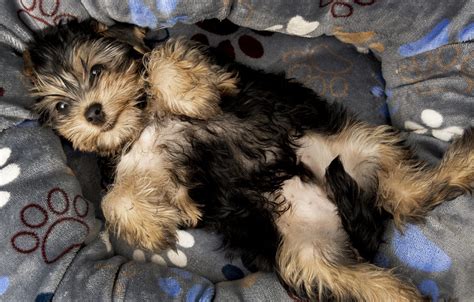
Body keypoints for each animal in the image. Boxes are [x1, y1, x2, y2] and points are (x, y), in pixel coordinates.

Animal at [23, 20, 474, 300]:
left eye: (96, 71)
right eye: (61, 107)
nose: (93, 113)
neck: (142, 122)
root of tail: (330, 204)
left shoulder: (219, 73)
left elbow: (163, 57)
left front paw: (189, 96)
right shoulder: (136, 162)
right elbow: (115, 197)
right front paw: (156, 223)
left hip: (355, 146)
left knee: (404, 190)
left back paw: (463, 161)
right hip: (308, 256)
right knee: (381, 253)